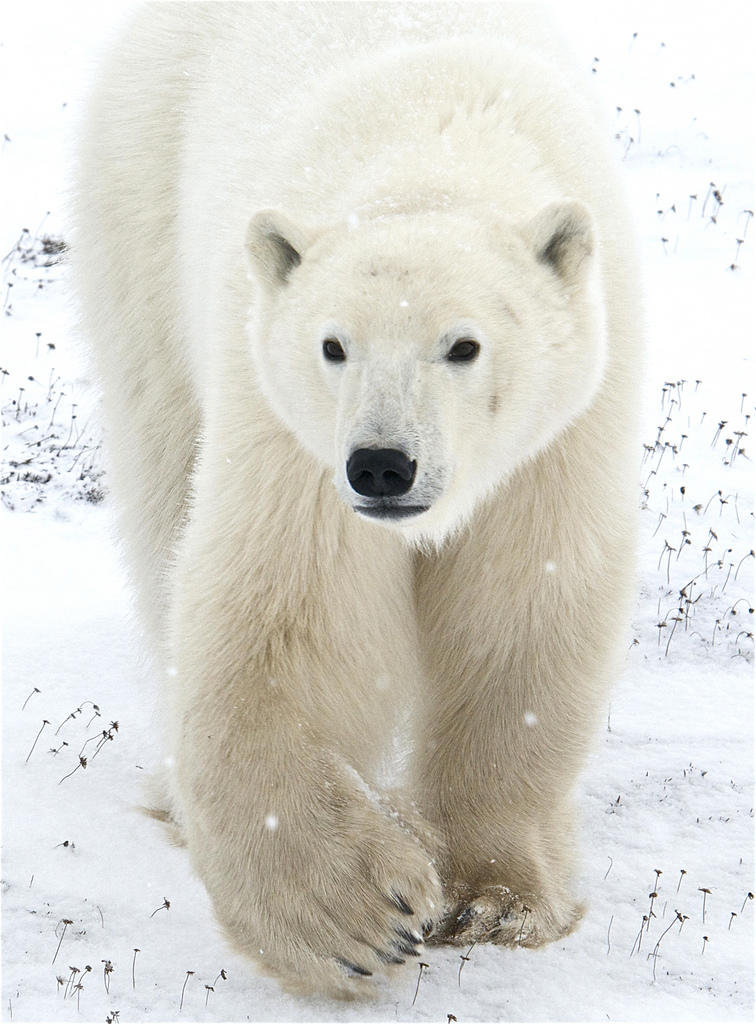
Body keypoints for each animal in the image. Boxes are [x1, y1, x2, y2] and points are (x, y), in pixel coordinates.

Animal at [75, 0, 635, 995]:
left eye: (464, 345)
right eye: (334, 345)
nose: (381, 467)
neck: (433, 149)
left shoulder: (560, 441)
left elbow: (522, 613)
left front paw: (495, 898)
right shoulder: (290, 434)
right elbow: (286, 619)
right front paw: (357, 917)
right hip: (141, 218)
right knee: (163, 489)